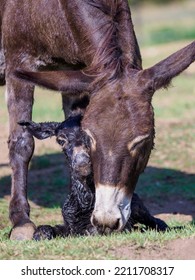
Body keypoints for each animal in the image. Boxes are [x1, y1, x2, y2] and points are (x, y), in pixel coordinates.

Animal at [19, 115, 168, 240]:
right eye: (61, 140)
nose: (82, 162)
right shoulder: (69, 225)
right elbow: (44, 229)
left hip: (138, 208)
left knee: (157, 222)